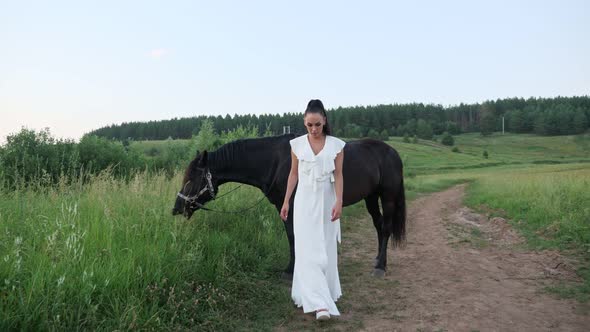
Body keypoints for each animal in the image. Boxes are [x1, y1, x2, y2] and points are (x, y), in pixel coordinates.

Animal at [170, 134, 408, 278]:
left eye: (191, 179)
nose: (177, 208)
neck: (276, 162)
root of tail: (393, 153)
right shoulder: (283, 207)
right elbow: (291, 236)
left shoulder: (292, 206)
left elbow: (294, 236)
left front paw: (293, 270)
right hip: (370, 197)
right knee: (379, 226)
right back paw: (378, 260)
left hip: (387, 197)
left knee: (386, 228)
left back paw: (380, 266)